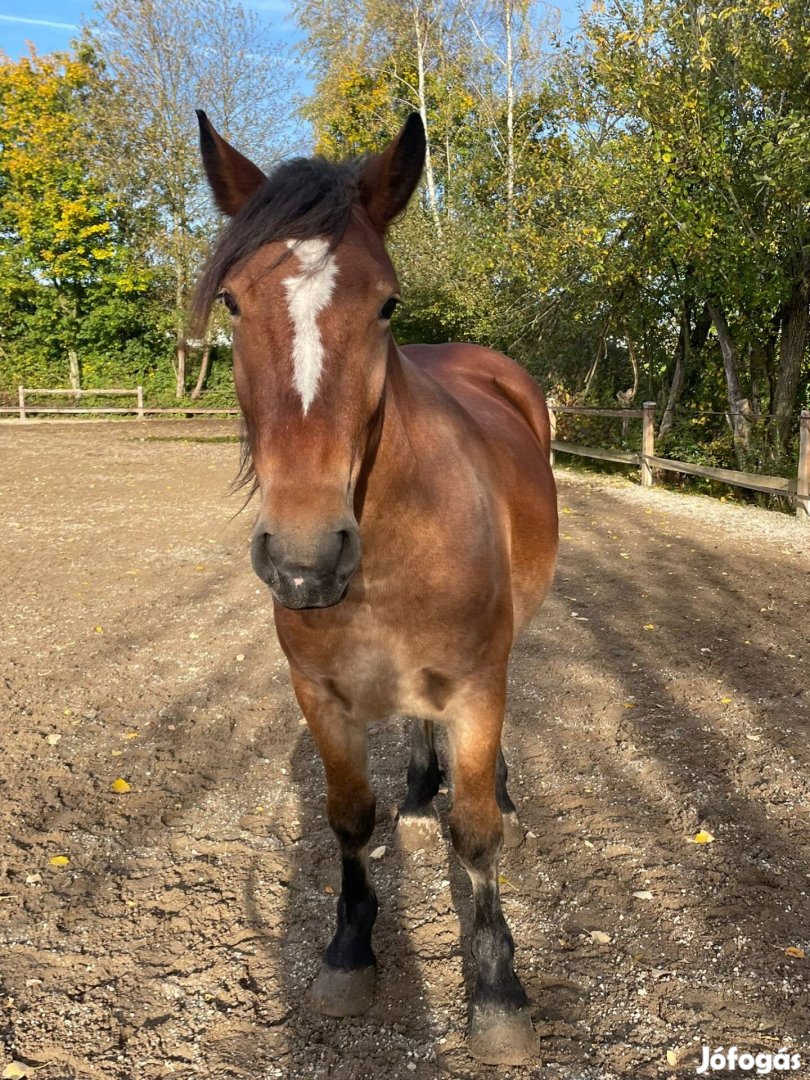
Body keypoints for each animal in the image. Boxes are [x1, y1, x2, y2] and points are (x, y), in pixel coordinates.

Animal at [196, 111, 557, 1062]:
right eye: (233, 302)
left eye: (387, 303)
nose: (306, 560)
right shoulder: (320, 695)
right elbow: (350, 818)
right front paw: (350, 949)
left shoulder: (476, 684)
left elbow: (479, 835)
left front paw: (497, 990)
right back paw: (423, 795)